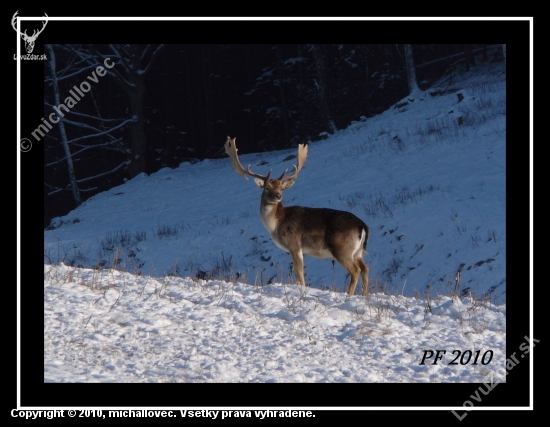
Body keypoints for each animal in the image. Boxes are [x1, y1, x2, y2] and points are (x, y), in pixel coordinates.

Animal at [224, 138, 370, 298]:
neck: (276, 224)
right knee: (365, 268)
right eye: (267, 187)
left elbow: (299, 274)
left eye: (281, 188)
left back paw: (349, 294)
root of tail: (362, 227)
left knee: (355, 270)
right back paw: (365, 295)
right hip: (357, 251)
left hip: (342, 249)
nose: (278, 196)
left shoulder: (294, 245)